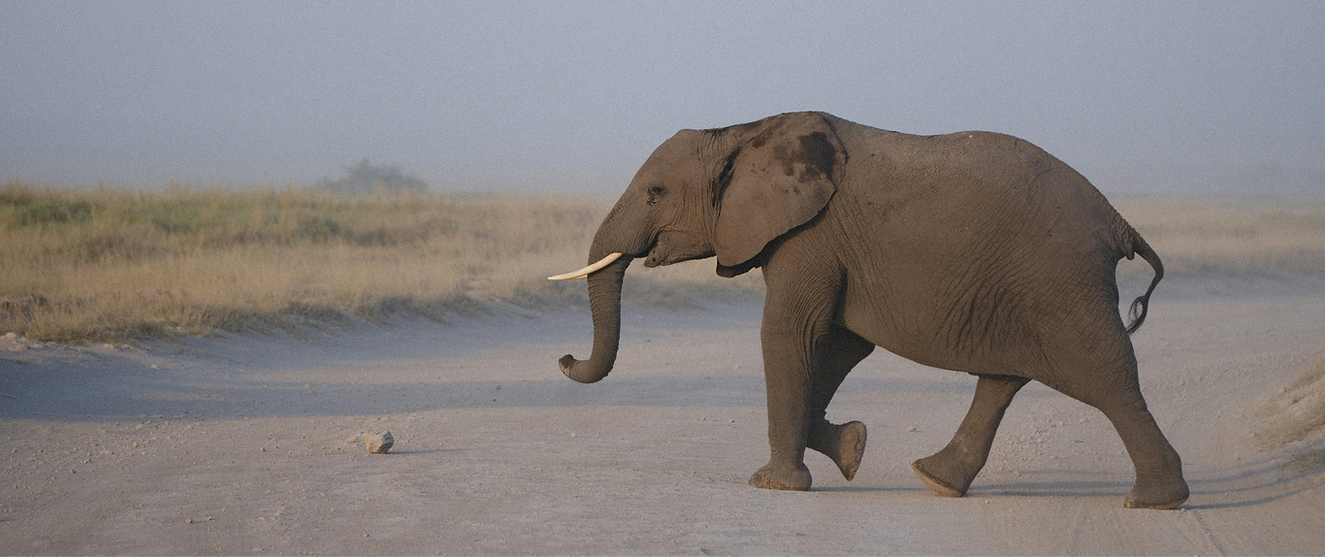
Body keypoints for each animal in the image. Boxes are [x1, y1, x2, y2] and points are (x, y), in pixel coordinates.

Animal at [548, 111, 1188, 509]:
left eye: (655, 194)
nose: (563, 358)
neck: (742, 130)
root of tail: (1117, 221)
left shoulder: (809, 234)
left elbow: (790, 333)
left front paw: (772, 487)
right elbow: (838, 343)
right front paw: (852, 450)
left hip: (1060, 280)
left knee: (1105, 375)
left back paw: (1154, 501)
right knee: (1003, 377)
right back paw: (936, 480)